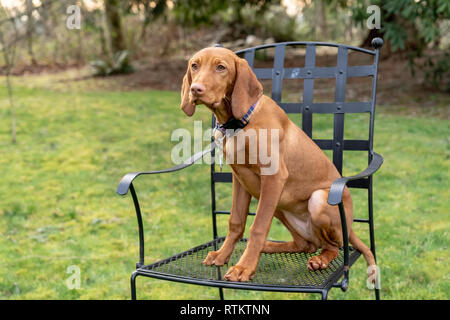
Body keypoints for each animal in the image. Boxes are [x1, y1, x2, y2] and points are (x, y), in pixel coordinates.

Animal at [179, 46, 376, 282]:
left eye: (221, 67)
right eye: (194, 65)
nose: (195, 89)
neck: (241, 122)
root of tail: (350, 225)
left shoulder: (273, 176)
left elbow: (257, 227)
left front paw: (243, 267)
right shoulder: (240, 179)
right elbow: (236, 222)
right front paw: (223, 255)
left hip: (317, 200)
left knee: (333, 246)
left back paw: (319, 260)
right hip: (277, 202)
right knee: (306, 244)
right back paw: (269, 246)